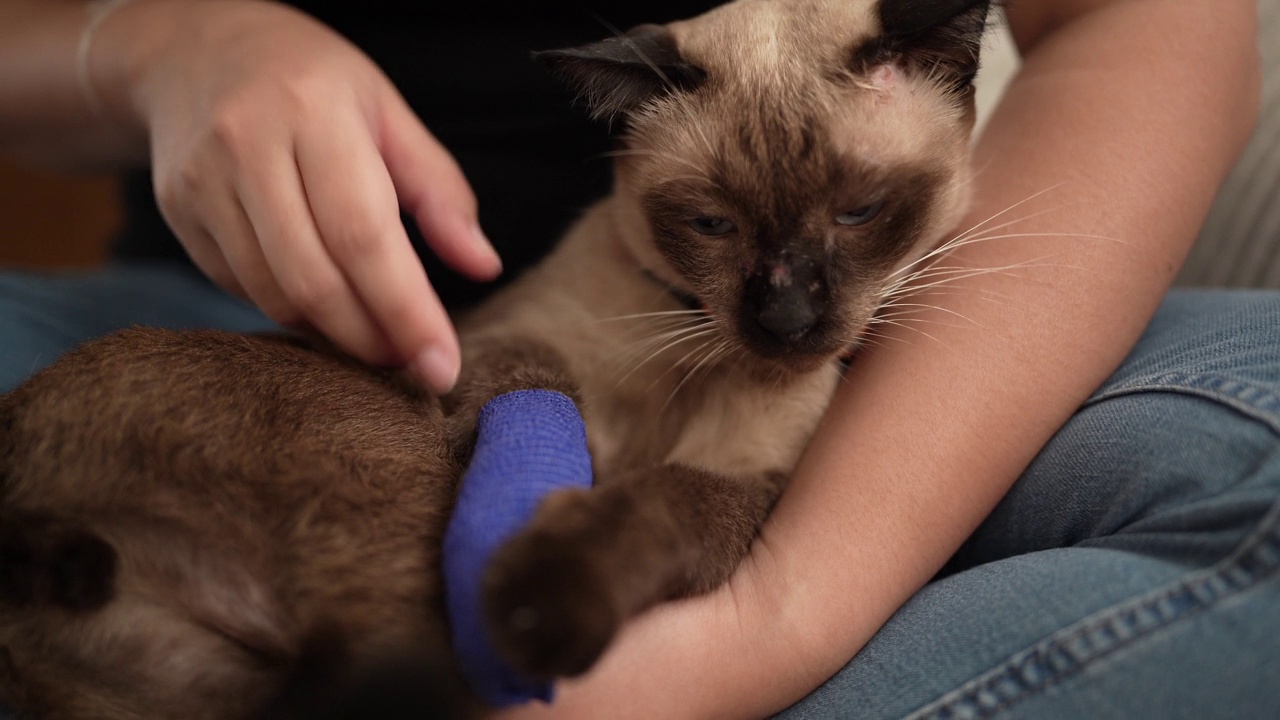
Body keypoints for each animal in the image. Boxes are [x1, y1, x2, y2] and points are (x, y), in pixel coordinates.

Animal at [0, 0, 988, 712]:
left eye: (860, 213)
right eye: (712, 224)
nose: (786, 319)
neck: (690, 348)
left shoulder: (750, 481)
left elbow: (660, 500)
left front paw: (541, 601)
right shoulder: (508, 341)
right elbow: (538, 394)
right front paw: (537, 578)